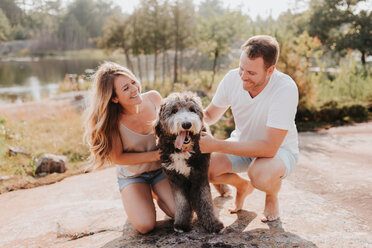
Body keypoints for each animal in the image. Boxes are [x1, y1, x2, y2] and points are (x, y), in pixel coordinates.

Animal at [154, 92, 224, 233]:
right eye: (174, 111)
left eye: (192, 109)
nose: (186, 124)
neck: (182, 150)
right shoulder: (175, 178)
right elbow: (181, 202)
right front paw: (181, 224)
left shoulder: (200, 174)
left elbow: (205, 200)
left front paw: (213, 224)